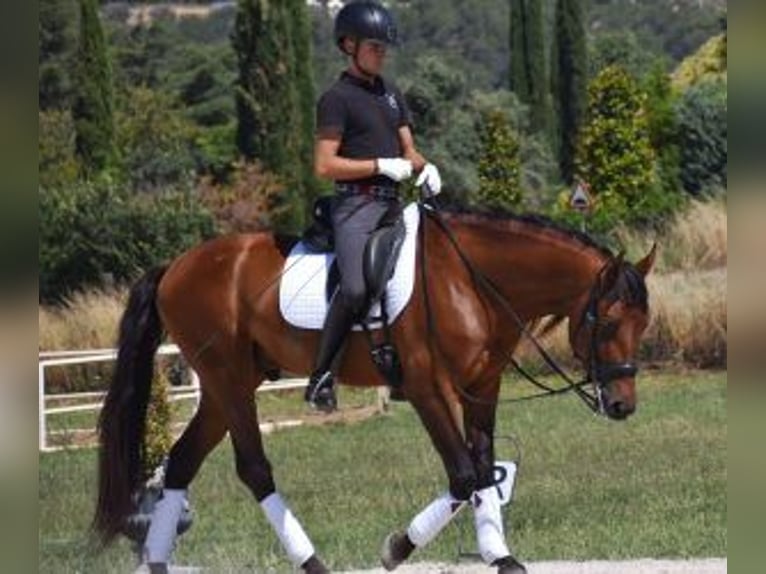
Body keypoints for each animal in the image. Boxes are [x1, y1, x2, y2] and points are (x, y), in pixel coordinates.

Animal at [92, 202, 656, 574]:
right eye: (607, 322)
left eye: (643, 324)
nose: (623, 405)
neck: (472, 280)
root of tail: (175, 266)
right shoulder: (428, 388)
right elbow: (463, 476)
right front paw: (396, 548)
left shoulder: (482, 386)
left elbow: (483, 470)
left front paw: (502, 557)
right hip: (228, 380)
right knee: (253, 469)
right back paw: (312, 564)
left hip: (222, 387)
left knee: (183, 462)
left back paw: (157, 563)